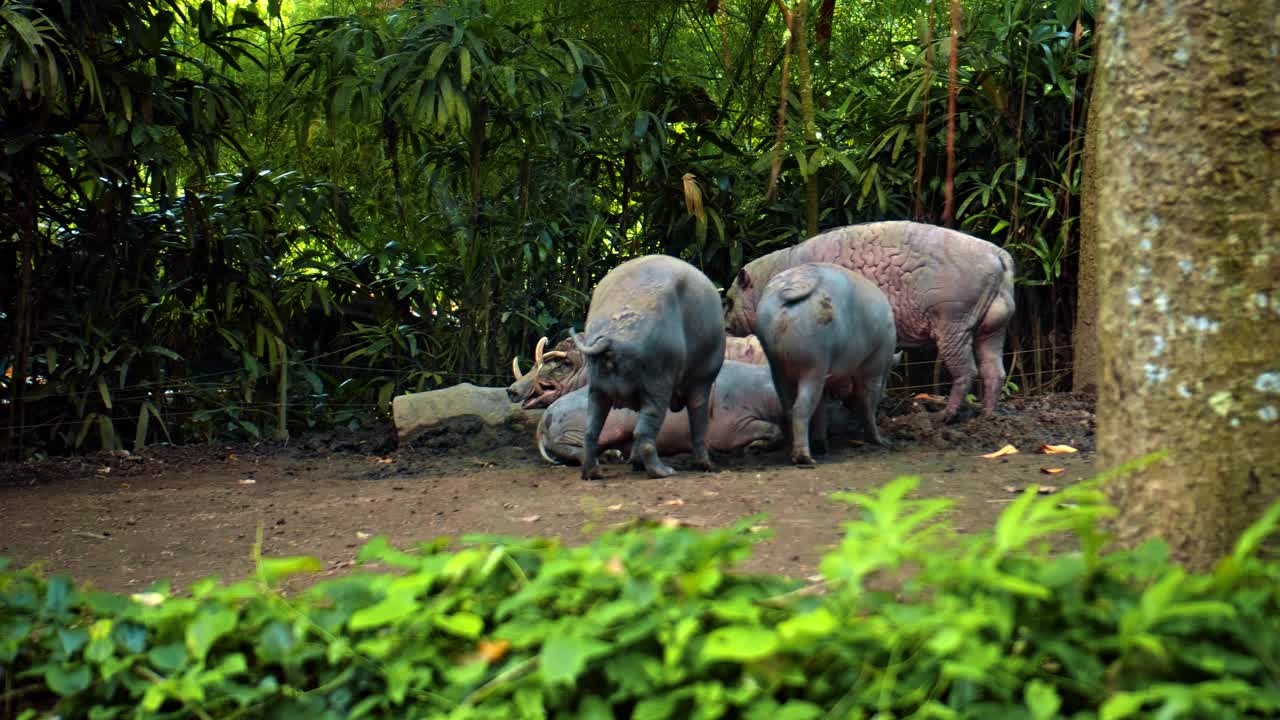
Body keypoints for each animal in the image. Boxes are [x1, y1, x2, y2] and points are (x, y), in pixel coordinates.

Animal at [535, 358, 783, 466]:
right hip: (580, 426)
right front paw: (754, 447)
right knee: (569, 448)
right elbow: (772, 429)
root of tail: (543, 419)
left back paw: (612, 455)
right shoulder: (731, 426)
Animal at [576, 254, 727, 479]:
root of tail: (611, 338)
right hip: (658, 386)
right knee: (645, 431)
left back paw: (593, 473)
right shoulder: (701, 382)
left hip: (597, 390)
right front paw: (707, 465)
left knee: (591, 429)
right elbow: (699, 422)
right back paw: (662, 471)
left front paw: (636, 463)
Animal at [727, 221, 1013, 417]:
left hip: (952, 323)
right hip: (992, 328)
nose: (726, 327)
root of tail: (999, 256)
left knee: (967, 371)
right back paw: (987, 416)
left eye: (728, 301)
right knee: (994, 371)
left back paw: (946, 416)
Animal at [752, 260, 896, 461]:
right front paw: (881, 441)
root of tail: (793, 285)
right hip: (814, 362)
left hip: (778, 365)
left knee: (789, 407)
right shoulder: (875, 365)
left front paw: (821, 445)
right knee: (801, 408)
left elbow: (821, 408)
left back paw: (798, 451)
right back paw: (804, 458)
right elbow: (867, 401)